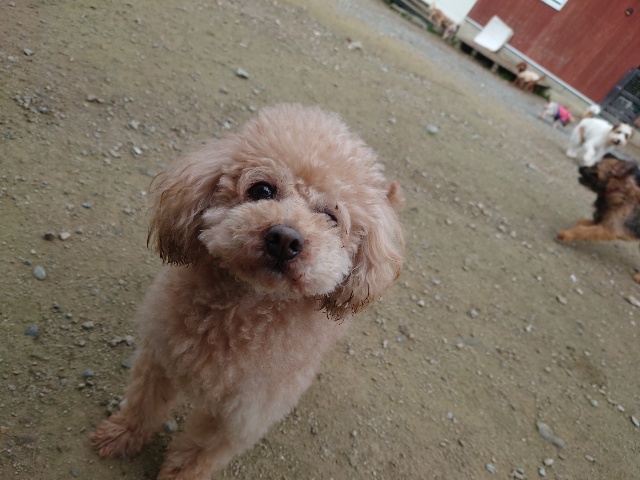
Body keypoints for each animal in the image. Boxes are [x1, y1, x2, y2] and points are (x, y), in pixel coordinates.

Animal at [90, 104, 405, 480]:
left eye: (330, 217)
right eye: (262, 190)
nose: (284, 238)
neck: (240, 310)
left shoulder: (241, 416)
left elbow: (197, 455)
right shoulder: (159, 359)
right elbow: (143, 404)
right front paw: (122, 435)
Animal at [558, 153, 640, 282]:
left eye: (595, 167)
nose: (580, 167)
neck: (619, 192)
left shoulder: (607, 229)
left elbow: (582, 231)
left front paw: (566, 235)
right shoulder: (599, 221)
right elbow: (581, 224)